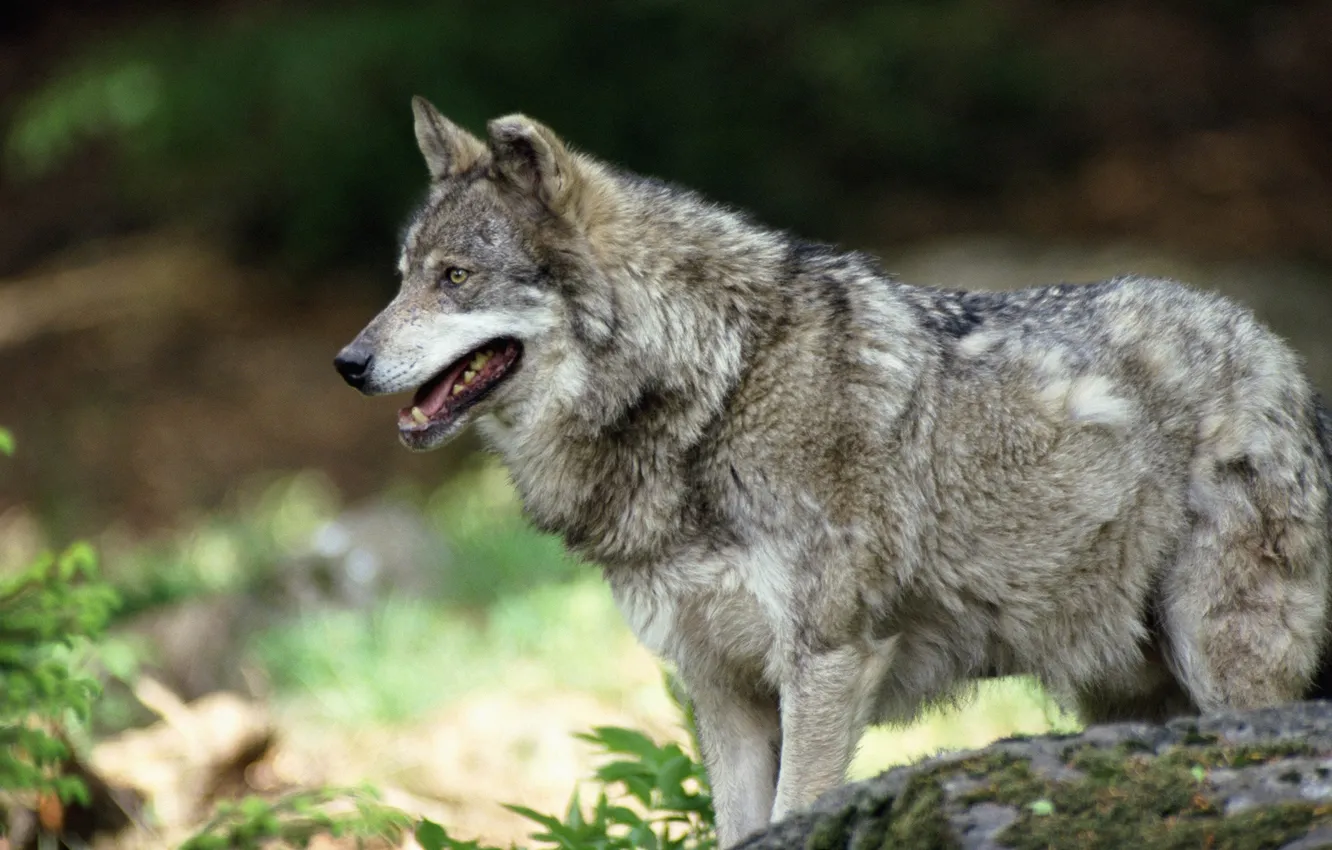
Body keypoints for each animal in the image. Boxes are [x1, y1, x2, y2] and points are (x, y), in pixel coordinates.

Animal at [335, 97, 1332, 847]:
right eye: (403, 276)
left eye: (455, 277)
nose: (348, 363)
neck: (715, 389)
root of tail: (1282, 360)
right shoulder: (721, 687)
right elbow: (740, 827)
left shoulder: (826, 659)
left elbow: (794, 812)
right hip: (1119, 696)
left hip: (1219, 665)